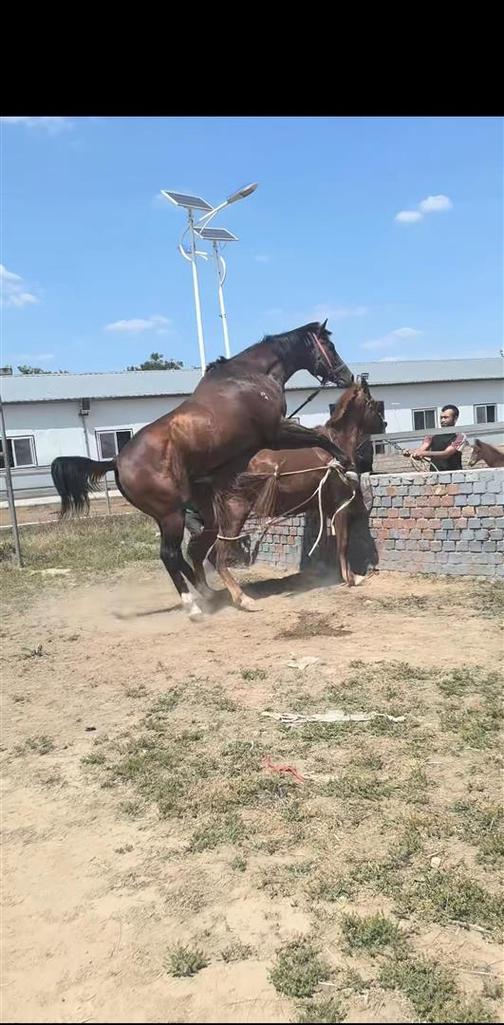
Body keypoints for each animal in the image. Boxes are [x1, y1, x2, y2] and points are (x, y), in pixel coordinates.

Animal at [51, 321, 354, 620]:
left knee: (186, 554)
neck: (250, 379)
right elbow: (321, 438)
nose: (347, 376)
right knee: (170, 555)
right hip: (170, 515)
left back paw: (208, 593)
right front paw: (344, 463)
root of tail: (116, 461)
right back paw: (196, 606)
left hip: (174, 516)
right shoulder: (277, 432)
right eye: (329, 345)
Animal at [186, 380, 385, 606]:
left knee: (198, 552)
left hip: (212, 522)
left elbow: (326, 544)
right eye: (373, 403)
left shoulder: (323, 508)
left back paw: (207, 593)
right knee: (218, 555)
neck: (335, 450)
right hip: (234, 514)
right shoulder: (340, 505)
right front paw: (351, 578)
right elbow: (343, 543)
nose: (384, 424)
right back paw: (242, 598)